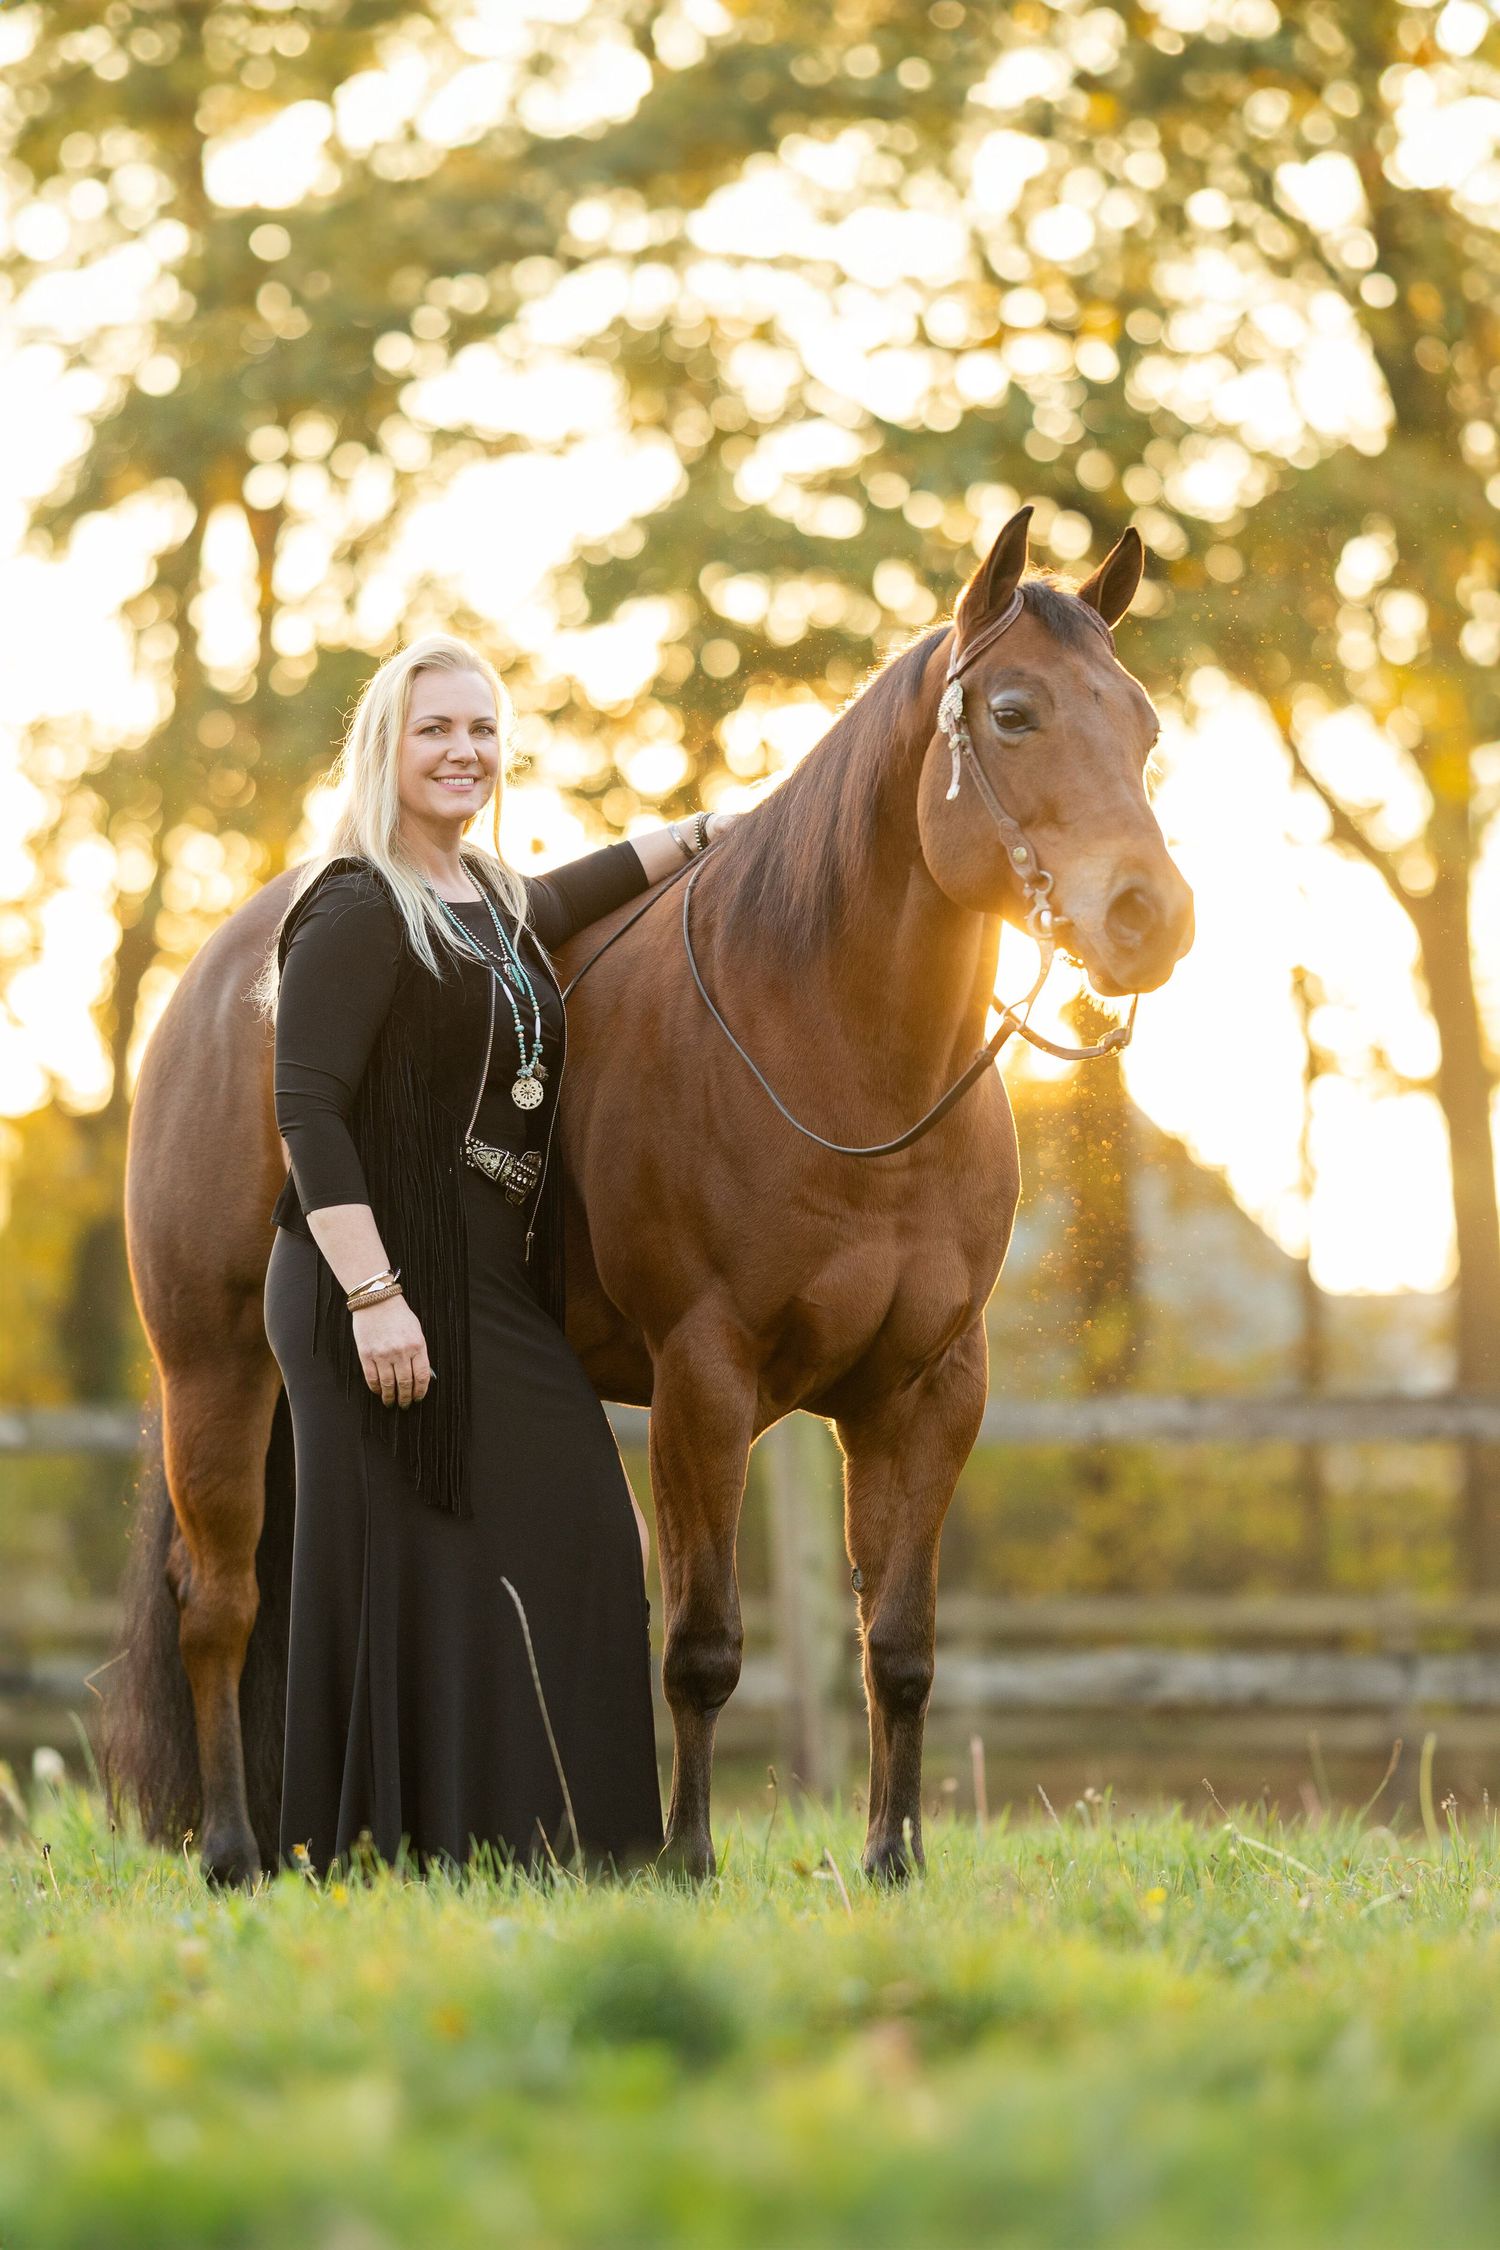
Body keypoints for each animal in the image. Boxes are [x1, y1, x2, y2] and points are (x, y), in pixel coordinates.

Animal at [104, 506, 1193, 1885]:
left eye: (1143, 726)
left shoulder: (929, 1391)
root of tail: (226, 975)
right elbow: (705, 1645)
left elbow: (898, 1648)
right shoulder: (705, 1378)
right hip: (215, 1365)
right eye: (1013, 712)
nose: (1151, 918)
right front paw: (684, 1859)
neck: (831, 1057)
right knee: (221, 1601)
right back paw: (238, 1851)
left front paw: (892, 1860)